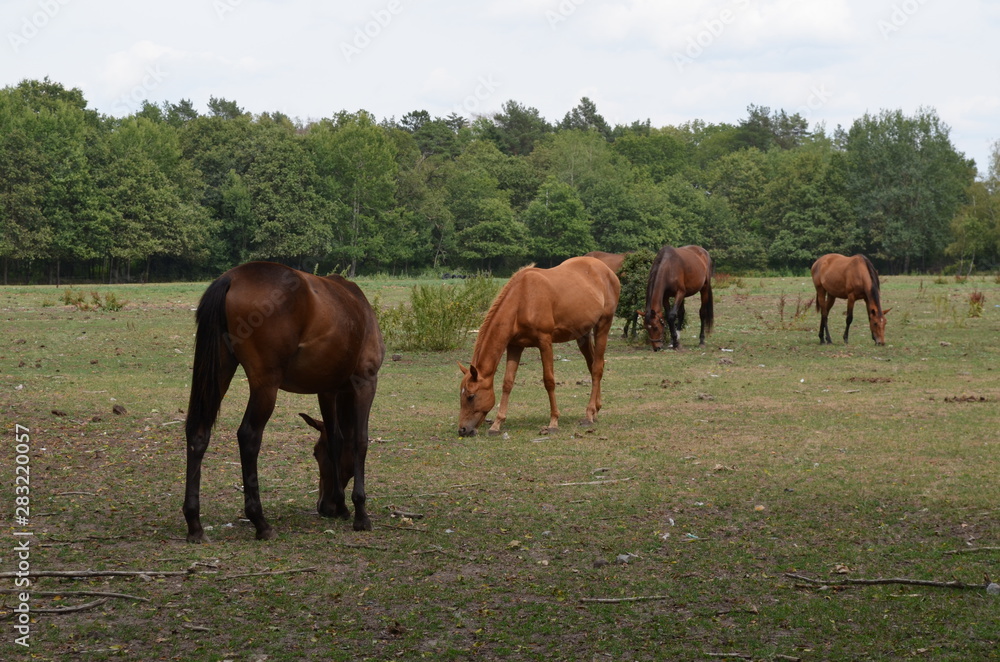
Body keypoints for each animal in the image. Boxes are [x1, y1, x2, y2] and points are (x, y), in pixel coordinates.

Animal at [182, 262, 384, 544]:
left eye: (316, 452)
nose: (324, 506)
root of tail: (231, 277)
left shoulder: (327, 390)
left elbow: (336, 439)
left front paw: (342, 506)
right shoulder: (366, 381)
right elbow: (359, 442)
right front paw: (360, 513)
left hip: (220, 369)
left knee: (199, 433)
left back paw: (194, 523)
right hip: (266, 385)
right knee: (249, 436)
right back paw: (260, 521)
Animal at [458, 256, 616, 438]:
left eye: (471, 396)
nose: (462, 430)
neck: (522, 299)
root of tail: (607, 271)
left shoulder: (544, 341)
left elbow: (549, 381)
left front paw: (553, 422)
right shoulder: (514, 346)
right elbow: (507, 383)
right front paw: (497, 424)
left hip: (603, 326)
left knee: (597, 368)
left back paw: (589, 414)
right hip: (582, 335)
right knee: (593, 366)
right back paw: (596, 410)